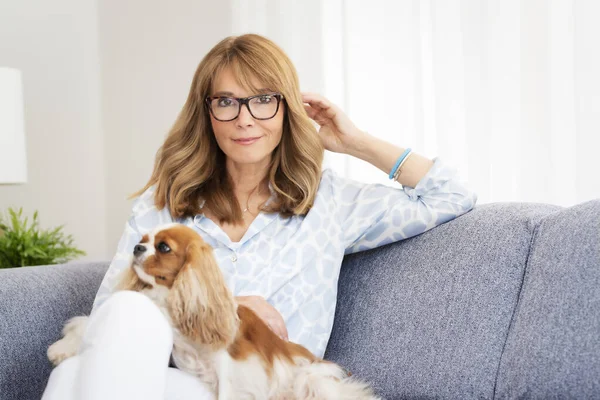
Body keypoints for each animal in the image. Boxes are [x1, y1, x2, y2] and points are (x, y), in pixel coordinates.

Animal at [51, 223, 380, 398]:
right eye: (143, 241)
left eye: (164, 247)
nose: (136, 248)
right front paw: (63, 348)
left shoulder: (232, 368)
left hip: (310, 380)